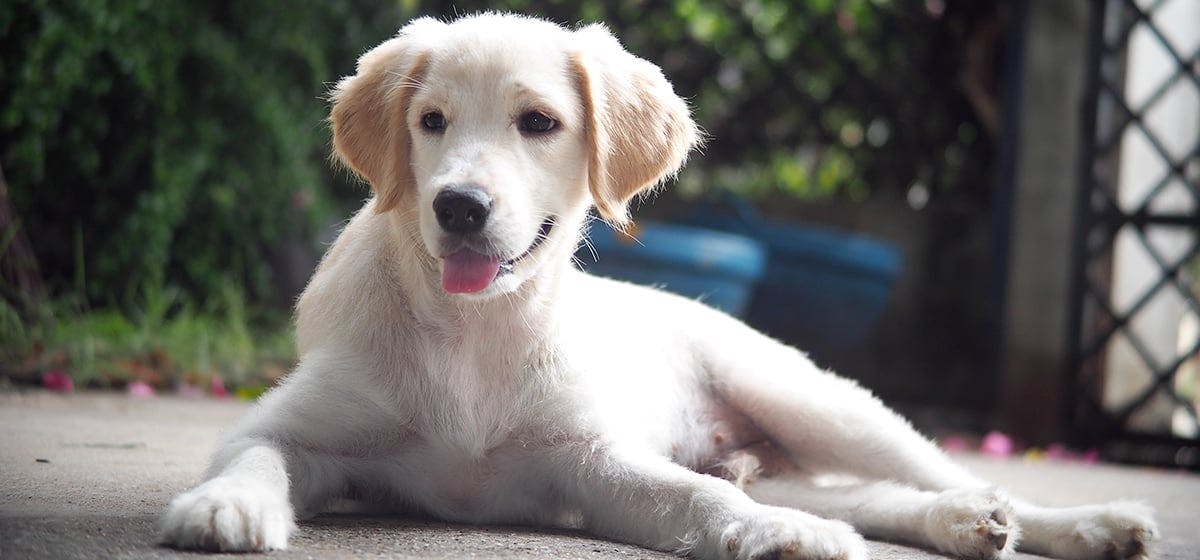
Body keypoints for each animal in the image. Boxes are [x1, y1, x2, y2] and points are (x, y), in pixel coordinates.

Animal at [159, 13, 1161, 560]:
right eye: (431, 121)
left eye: (538, 123)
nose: (459, 207)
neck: (473, 333)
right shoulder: (291, 426)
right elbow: (253, 455)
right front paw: (226, 506)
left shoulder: (591, 462)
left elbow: (705, 502)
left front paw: (773, 539)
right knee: (864, 499)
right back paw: (959, 522)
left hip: (812, 398)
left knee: (928, 472)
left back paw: (1078, 521)